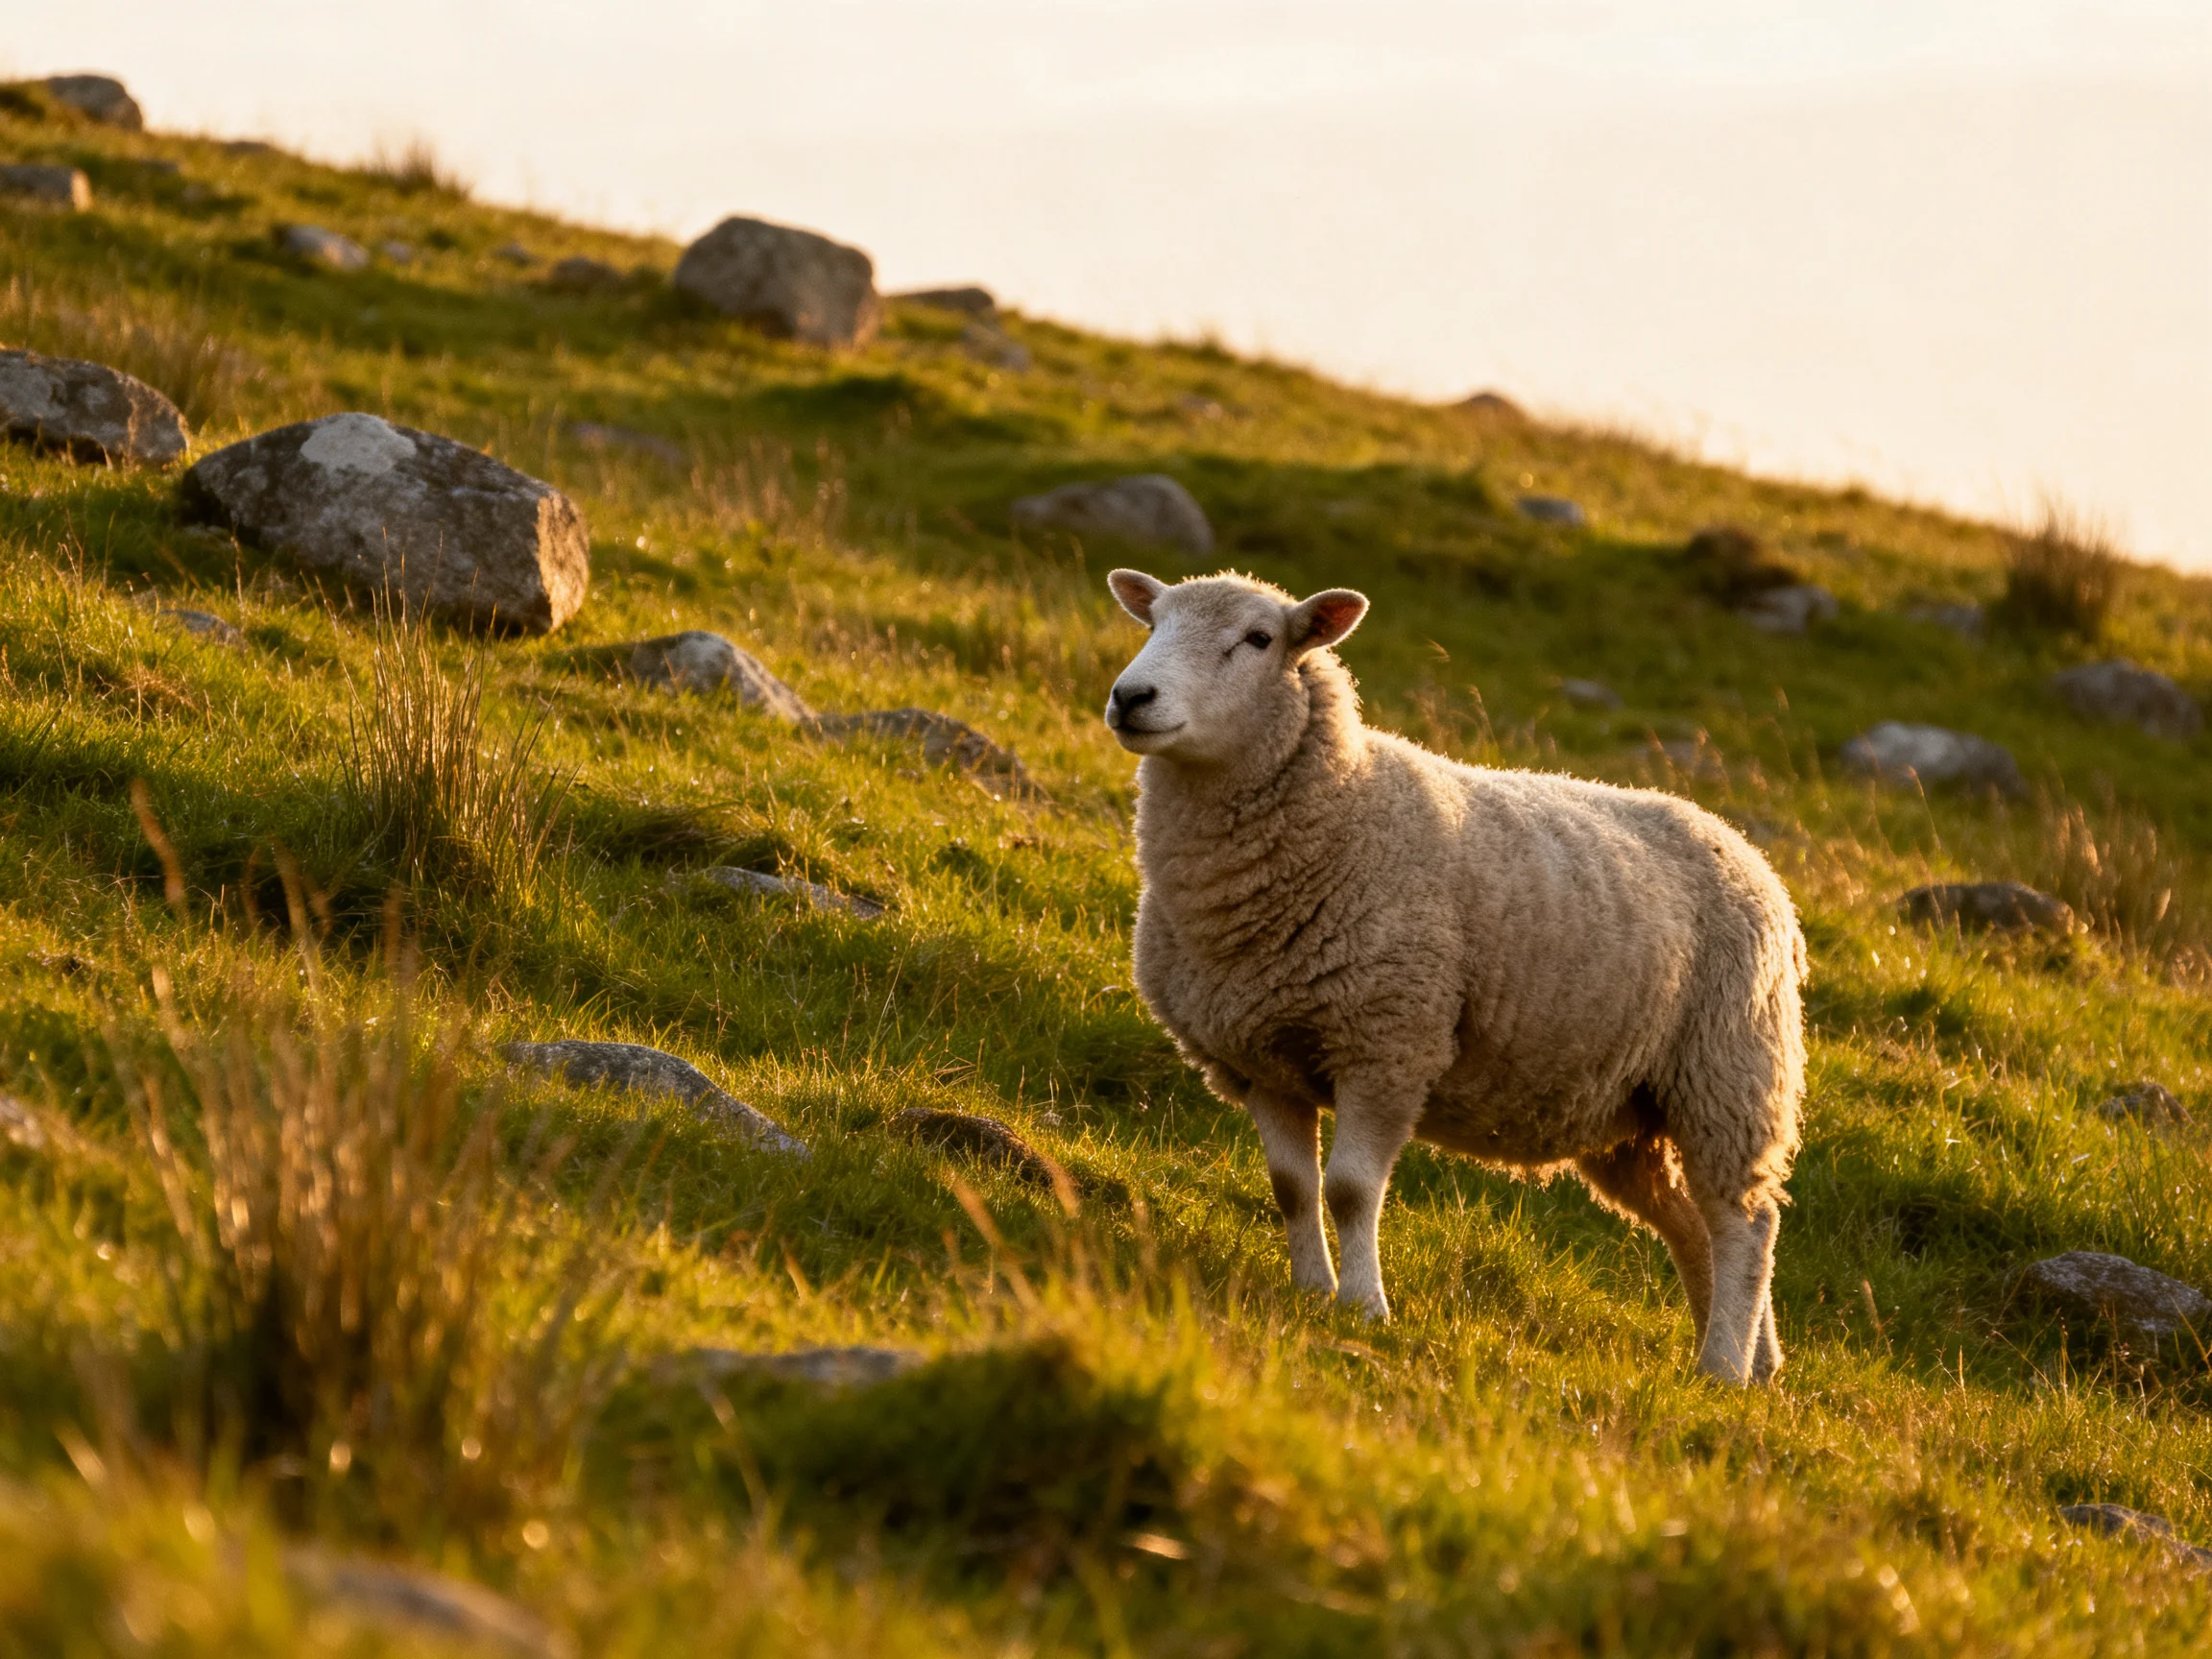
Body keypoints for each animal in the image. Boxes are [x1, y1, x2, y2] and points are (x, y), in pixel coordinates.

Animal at [1103, 569, 1807, 1384]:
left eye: (1259, 639)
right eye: (1153, 621)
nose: (1131, 697)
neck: (1342, 806)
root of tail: (1748, 851)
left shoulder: (1389, 1043)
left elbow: (1349, 1190)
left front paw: (1363, 1307)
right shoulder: (1262, 1058)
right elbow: (1292, 1189)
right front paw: (1310, 1291)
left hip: (1729, 1076)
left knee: (1746, 1222)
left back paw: (1722, 1364)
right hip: (1633, 1115)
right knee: (1696, 1228)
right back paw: (1752, 1364)